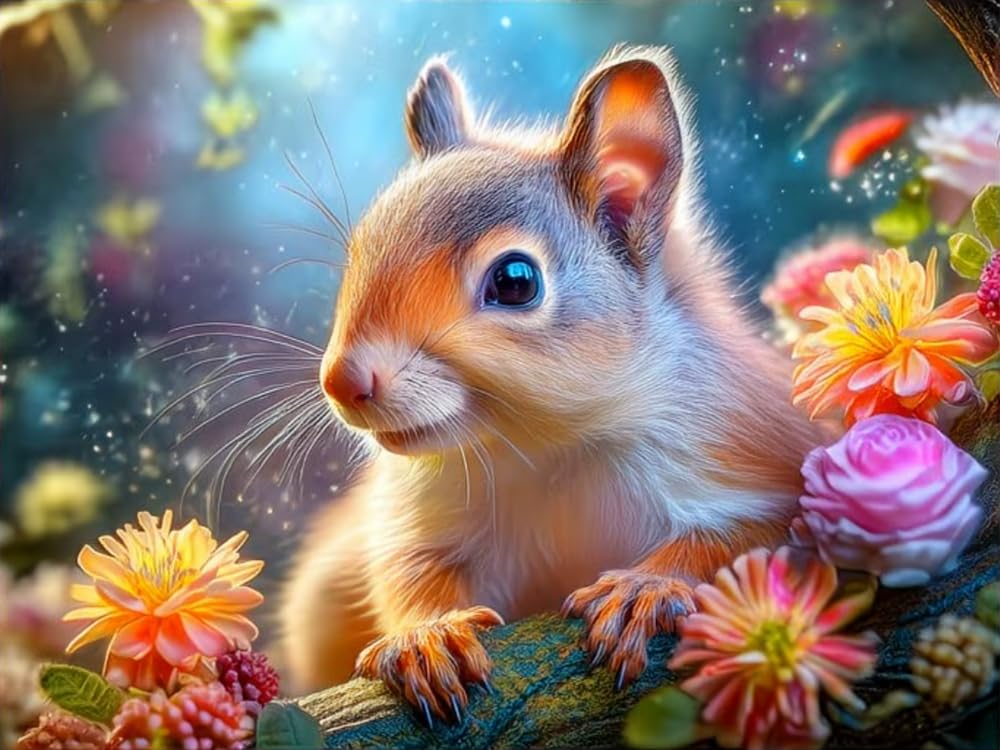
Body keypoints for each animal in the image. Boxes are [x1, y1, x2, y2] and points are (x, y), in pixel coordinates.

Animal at [279, 45, 825, 722]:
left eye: (516, 280)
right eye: (358, 251)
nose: (341, 380)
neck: (550, 447)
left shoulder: (755, 451)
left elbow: (750, 540)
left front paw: (648, 586)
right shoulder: (425, 515)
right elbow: (410, 572)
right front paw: (428, 635)